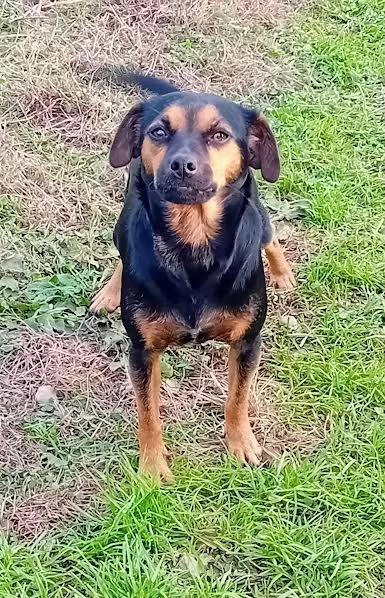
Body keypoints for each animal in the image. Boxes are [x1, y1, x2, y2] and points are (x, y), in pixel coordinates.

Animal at [91, 70, 294, 482]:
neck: (194, 244)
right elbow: (148, 413)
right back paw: (110, 291)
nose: (182, 165)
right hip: (122, 219)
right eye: (158, 132)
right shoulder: (142, 352)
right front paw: (152, 467)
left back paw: (283, 273)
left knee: (270, 235)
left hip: (260, 215)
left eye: (219, 135)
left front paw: (242, 444)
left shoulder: (248, 342)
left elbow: (238, 398)